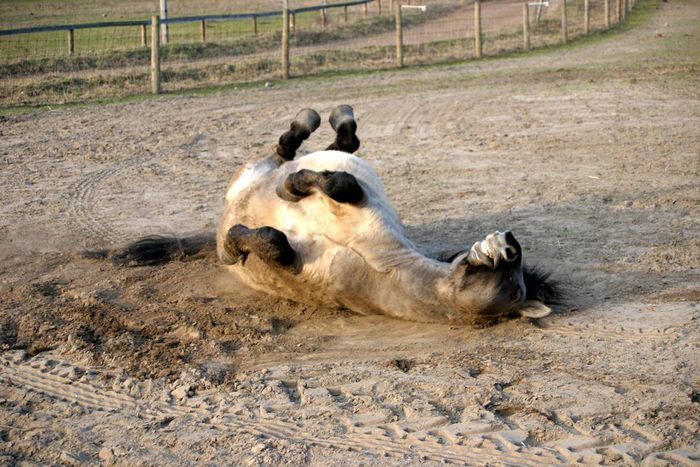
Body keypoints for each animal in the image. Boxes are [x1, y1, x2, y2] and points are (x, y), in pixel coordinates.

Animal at [116, 106, 564, 326]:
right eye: (515, 266)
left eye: (514, 283)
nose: (511, 242)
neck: (377, 267)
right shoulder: (358, 203)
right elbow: (340, 184)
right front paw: (292, 187)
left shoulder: (292, 268)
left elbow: (272, 242)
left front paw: (232, 246)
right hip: (255, 169)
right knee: (311, 146)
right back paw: (319, 123)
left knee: (306, 150)